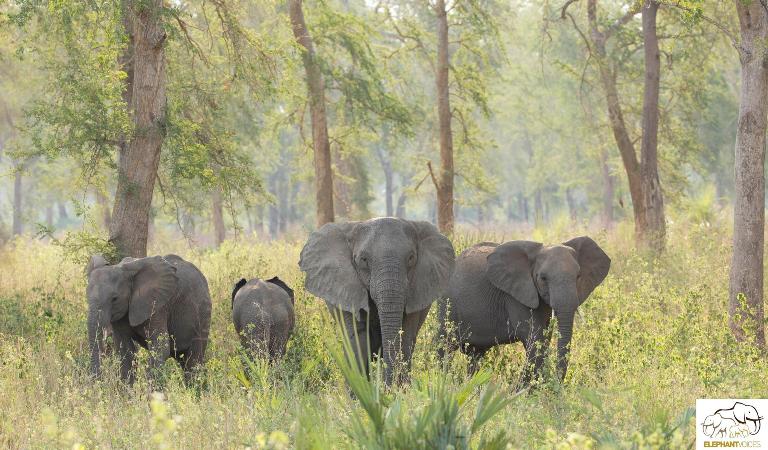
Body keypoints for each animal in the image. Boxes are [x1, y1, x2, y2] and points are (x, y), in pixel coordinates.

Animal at [300, 217, 456, 384]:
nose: (387, 386)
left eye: (411, 258)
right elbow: (359, 341)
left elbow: (405, 339)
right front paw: (362, 389)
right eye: (363, 260)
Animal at [438, 237, 612, 382]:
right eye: (543, 278)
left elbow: (544, 338)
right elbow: (534, 339)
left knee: (475, 354)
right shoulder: (515, 295)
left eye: (578, 277)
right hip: (447, 305)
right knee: (443, 344)